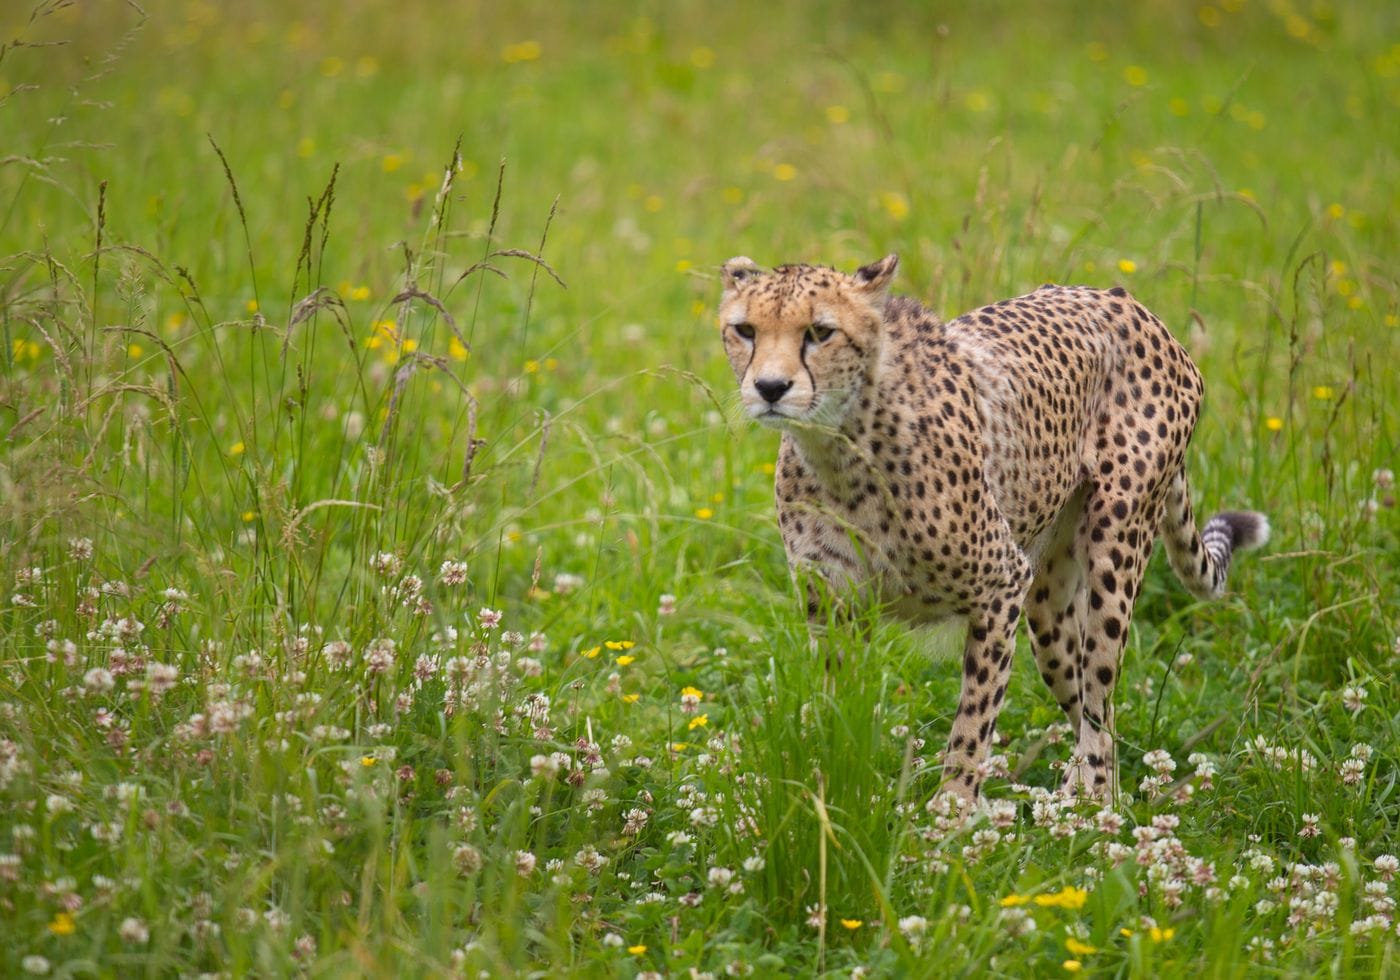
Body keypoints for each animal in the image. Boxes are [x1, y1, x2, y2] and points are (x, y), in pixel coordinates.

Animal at [717, 253, 1268, 803]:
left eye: (820, 331)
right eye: (745, 330)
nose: (769, 388)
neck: (841, 446)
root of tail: (1126, 301)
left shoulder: (1000, 587)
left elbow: (972, 723)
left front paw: (951, 812)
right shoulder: (834, 608)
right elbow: (836, 710)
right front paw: (827, 792)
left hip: (1114, 551)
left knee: (1100, 700)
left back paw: (1094, 803)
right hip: (1047, 605)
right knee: (1084, 700)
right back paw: (1083, 797)